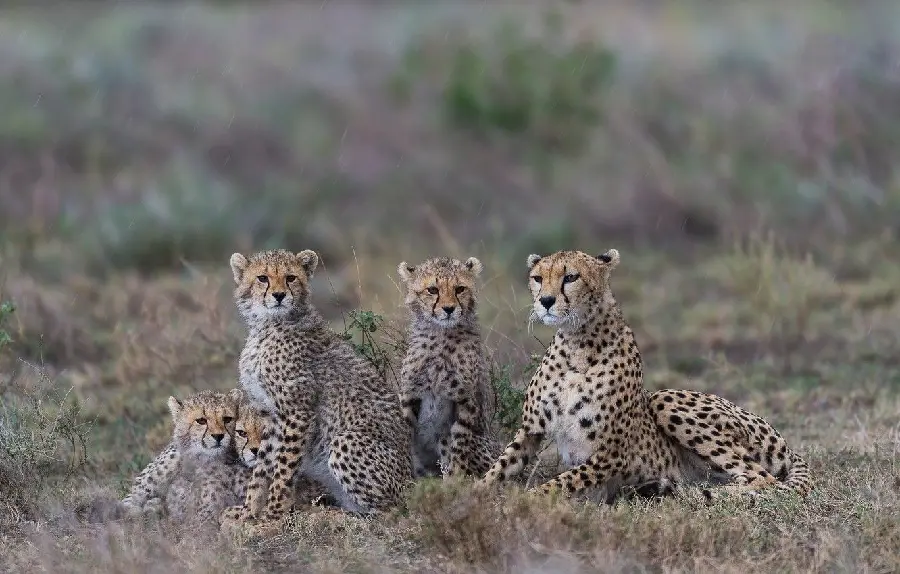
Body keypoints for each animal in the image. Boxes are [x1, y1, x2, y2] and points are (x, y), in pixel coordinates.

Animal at [223, 250, 414, 524]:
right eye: (262, 278)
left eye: (291, 277)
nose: (279, 295)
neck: (268, 324)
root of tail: (413, 483)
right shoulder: (270, 413)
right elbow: (262, 466)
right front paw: (248, 510)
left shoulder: (297, 411)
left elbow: (284, 465)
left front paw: (273, 512)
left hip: (346, 440)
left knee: (392, 512)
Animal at [398, 258, 502, 480]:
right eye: (432, 290)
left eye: (460, 289)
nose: (448, 309)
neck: (441, 335)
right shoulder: (409, 396)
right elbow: (404, 437)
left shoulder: (466, 400)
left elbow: (458, 447)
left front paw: (455, 481)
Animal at [482, 250, 812, 502]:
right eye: (538, 278)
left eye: (571, 277)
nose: (546, 301)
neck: (576, 342)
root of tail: (786, 445)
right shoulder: (530, 431)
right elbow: (499, 468)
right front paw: (474, 493)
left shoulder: (610, 454)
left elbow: (559, 482)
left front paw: (523, 501)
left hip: (666, 399)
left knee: (764, 479)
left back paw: (691, 493)